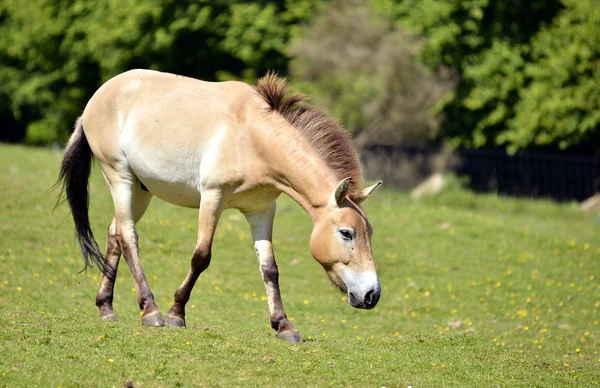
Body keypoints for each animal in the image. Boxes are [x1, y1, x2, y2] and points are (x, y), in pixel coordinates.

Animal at [58, 69, 382, 342]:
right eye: (346, 233)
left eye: (370, 233)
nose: (372, 295)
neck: (251, 136)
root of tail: (98, 96)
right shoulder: (212, 199)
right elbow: (201, 257)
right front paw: (176, 313)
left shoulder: (261, 211)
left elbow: (270, 269)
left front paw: (283, 326)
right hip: (120, 176)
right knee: (128, 237)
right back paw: (151, 310)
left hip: (141, 190)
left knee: (115, 233)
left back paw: (106, 307)